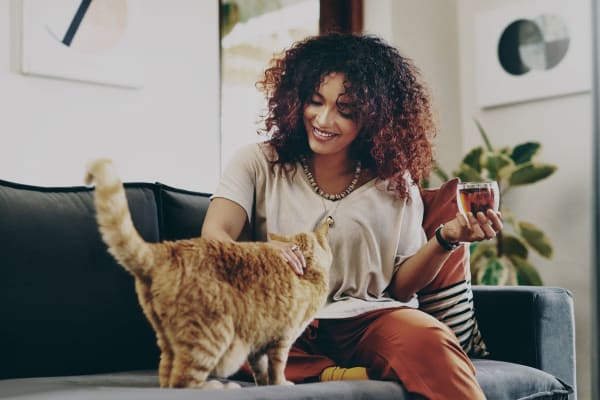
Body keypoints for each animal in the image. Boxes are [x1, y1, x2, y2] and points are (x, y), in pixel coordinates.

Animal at [83, 159, 332, 388]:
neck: (307, 273)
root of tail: (166, 249)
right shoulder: (282, 338)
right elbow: (277, 367)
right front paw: (280, 384)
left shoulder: (259, 340)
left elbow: (261, 369)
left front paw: (265, 385)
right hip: (211, 337)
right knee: (183, 383)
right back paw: (220, 387)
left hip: (168, 340)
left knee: (167, 379)